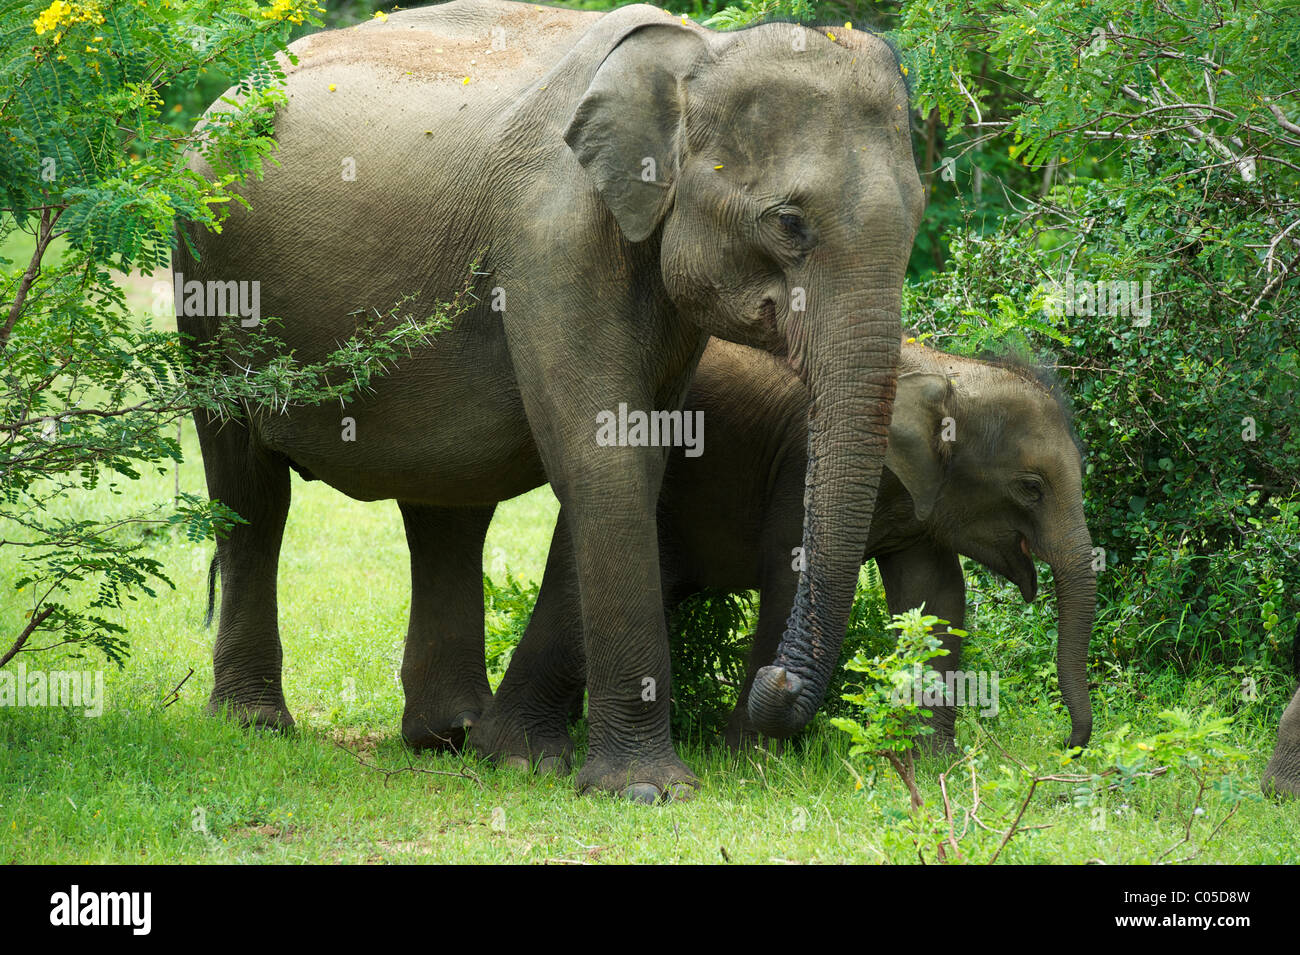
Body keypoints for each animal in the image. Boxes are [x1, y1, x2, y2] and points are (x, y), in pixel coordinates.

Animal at [177, 0, 925, 800]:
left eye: (918, 219)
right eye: (788, 222)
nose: (776, 683)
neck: (697, 53)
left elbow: (634, 465)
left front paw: (516, 756)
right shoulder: (552, 240)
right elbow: (603, 461)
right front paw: (646, 790)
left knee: (446, 510)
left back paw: (449, 733)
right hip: (205, 274)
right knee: (250, 492)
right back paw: (255, 724)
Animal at [472, 337, 1096, 767]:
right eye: (1031, 488)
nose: (1067, 744)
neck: (943, 368)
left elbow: (935, 599)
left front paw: (932, 762)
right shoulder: (803, 464)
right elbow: (790, 579)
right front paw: (751, 763)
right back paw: (519, 755)